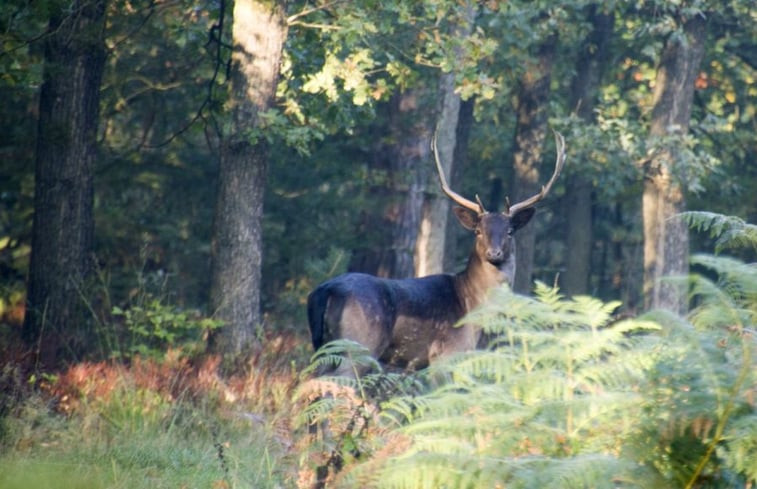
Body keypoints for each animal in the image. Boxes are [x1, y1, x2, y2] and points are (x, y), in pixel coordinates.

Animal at [304, 130, 564, 374]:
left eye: (510, 231)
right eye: (478, 231)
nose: (494, 253)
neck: (474, 309)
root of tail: (325, 291)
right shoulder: (446, 354)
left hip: (323, 348)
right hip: (359, 344)